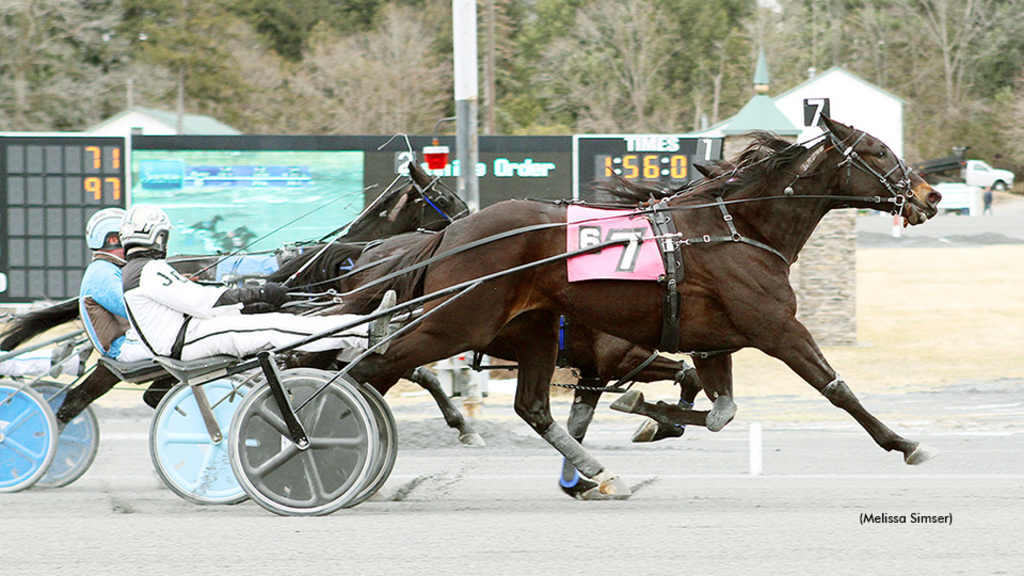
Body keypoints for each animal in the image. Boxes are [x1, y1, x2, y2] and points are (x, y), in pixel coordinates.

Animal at [333, 115, 937, 494]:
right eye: (880, 152)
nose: (929, 195)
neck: (736, 227)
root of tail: (451, 234)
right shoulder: (777, 329)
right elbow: (835, 388)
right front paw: (904, 442)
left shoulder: (709, 342)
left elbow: (718, 409)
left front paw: (652, 416)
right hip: (455, 322)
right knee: (371, 366)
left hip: (529, 329)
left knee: (528, 406)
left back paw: (599, 471)